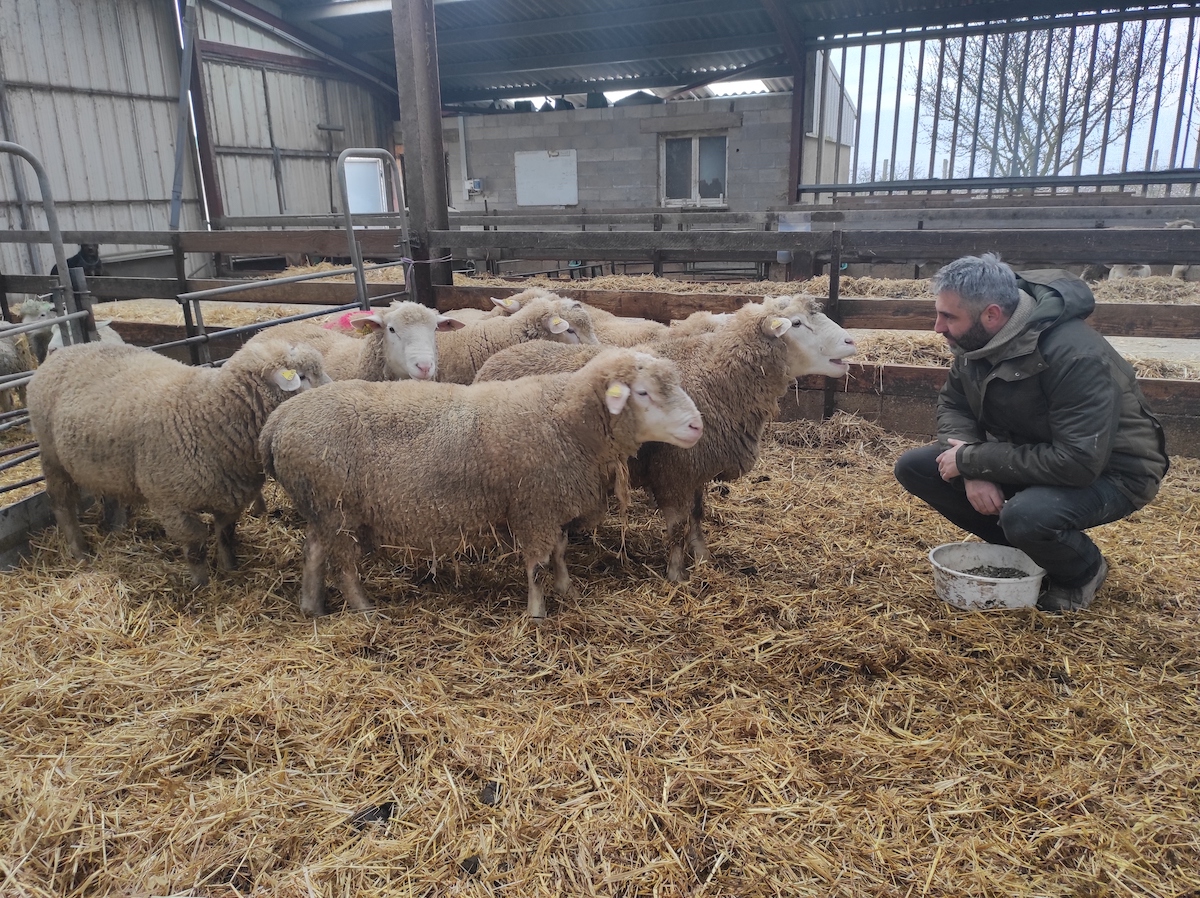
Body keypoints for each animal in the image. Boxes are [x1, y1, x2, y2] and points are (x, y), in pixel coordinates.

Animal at [29, 336, 328, 583]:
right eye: (302, 376)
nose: (333, 390)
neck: (209, 414)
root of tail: (65, 350)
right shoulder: (169, 502)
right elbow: (195, 545)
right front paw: (201, 584)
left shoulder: (230, 496)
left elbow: (226, 535)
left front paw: (229, 568)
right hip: (51, 456)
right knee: (61, 503)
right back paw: (79, 551)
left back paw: (114, 528)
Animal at [258, 348, 700, 619]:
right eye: (642, 392)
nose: (697, 426)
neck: (565, 421)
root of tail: (277, 423)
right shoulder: (533, 506)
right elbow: (536, 564)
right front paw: (537, 613)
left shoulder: (548, 505)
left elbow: (558, 552)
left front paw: (567, 590)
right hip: (337, 507)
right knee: (344, 564)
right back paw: (365, 609)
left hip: (322, 507)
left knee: (313, 551)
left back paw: (312, 606)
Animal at [472, 294, 859, 583]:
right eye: (796, 323)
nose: (852, 341)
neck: (717, 377)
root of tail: (497, 358)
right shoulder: (675, 469)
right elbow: (676, 526)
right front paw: (676, 573)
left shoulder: (697, 467)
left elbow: (698, 515)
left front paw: (702, 556)